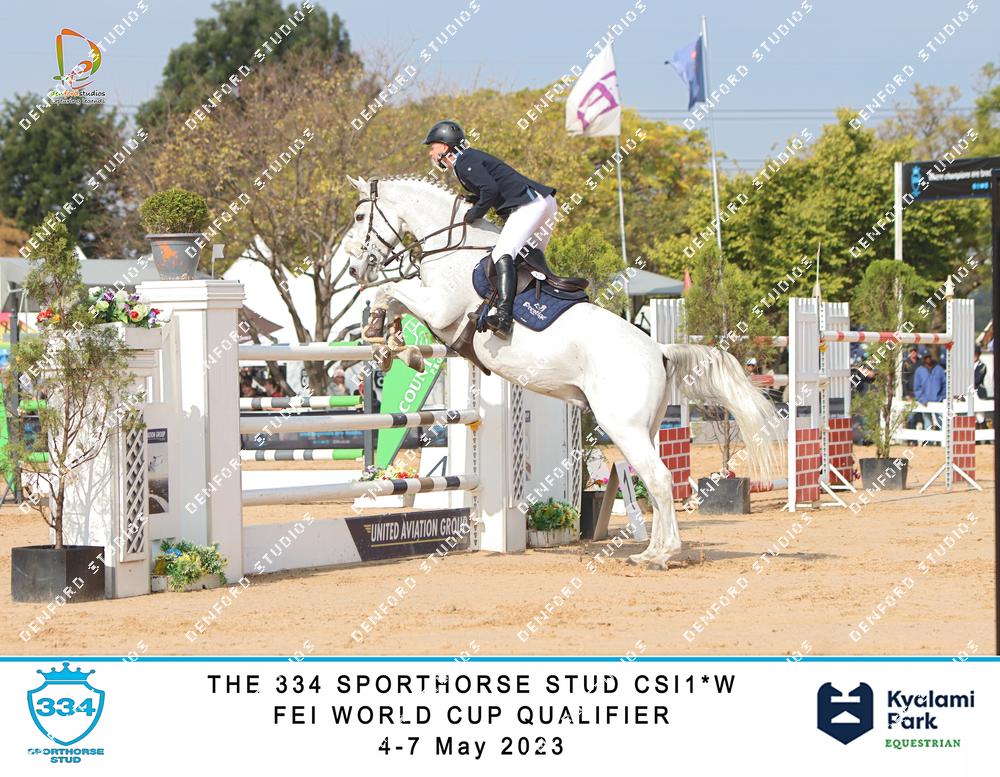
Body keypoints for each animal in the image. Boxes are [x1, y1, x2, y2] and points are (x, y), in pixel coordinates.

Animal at [335, 174, 782, 568]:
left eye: (358, 216)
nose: (354, 270)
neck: (451, 249)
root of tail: (658, 350)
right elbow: (392, 297)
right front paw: (392, 344)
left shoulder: (441, 309)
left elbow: (390, 290)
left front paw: (384, 337)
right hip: (643, 427)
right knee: (655, 480)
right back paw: (652, 551)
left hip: (622, 425)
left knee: (659, 479)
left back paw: (660, 555)